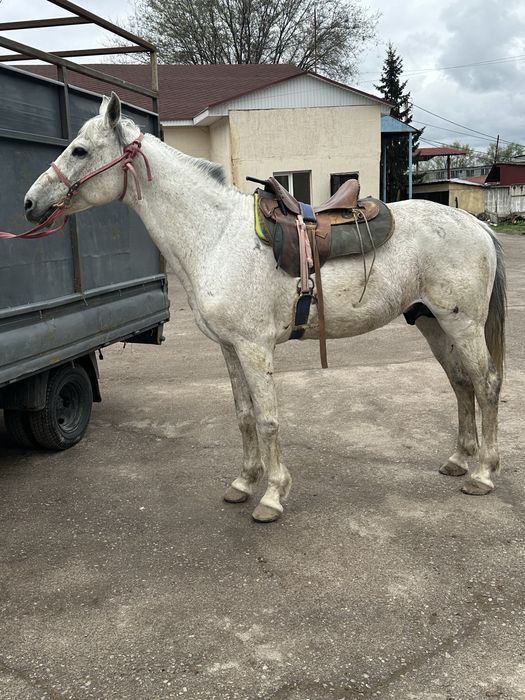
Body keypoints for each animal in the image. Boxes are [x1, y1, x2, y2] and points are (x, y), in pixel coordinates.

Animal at [24, 93, 506, 523]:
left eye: (80, 150)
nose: (30, 203)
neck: (216, 235)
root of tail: (476, 226)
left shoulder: (255, 348)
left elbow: (269, 419)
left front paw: (272, 496)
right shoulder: (229, 348)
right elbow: (244, 415)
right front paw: (243, 483)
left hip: (463, 325)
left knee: (486, 384)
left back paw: (482, 474)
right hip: (432, 323)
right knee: (461, 383)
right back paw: (459, 460)